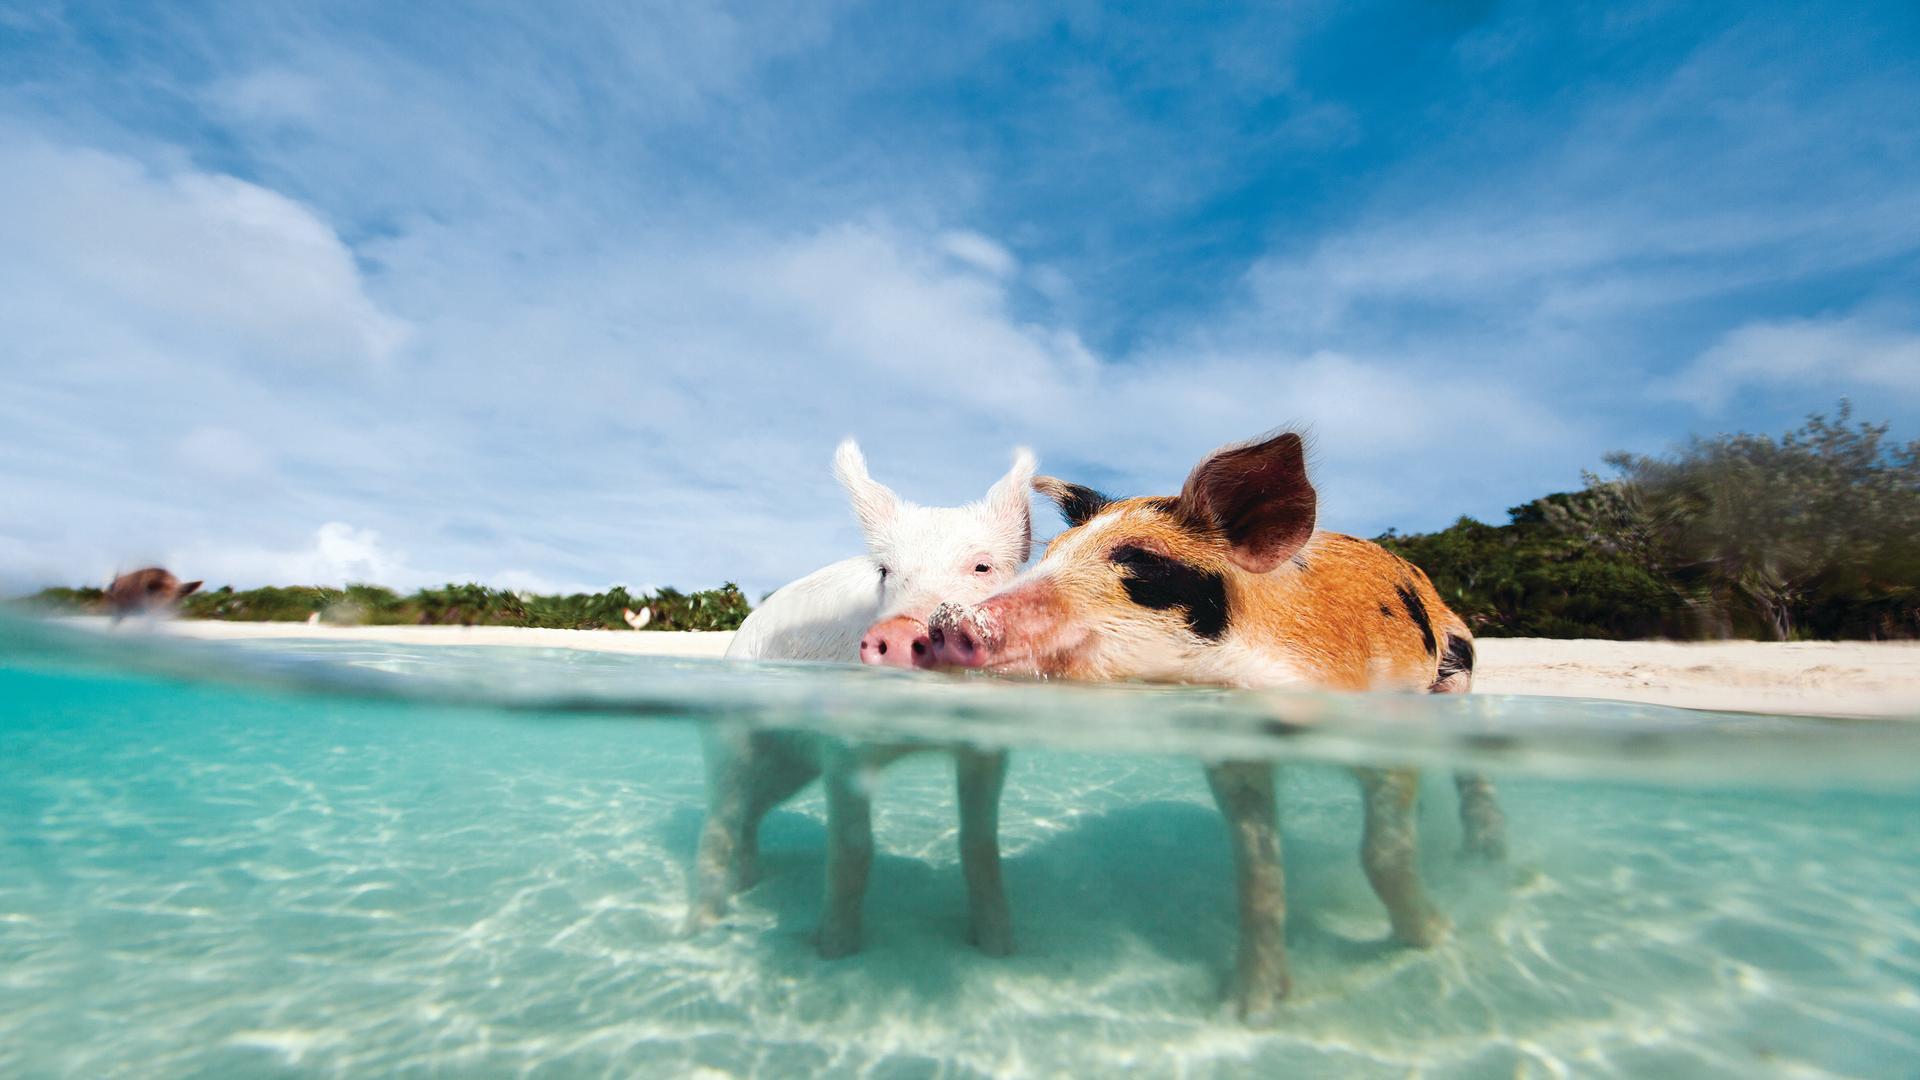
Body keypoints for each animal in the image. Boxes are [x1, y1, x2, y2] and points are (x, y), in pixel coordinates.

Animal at [687, 439, 1036, 959]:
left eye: (982, 566)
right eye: (886, 572)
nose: (901, 630)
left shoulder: (986, 745)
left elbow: (978, 844)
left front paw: (1001, 948)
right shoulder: (843, 747)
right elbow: (853, 848)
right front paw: (834, 951)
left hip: (790, 766)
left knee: (751, 811)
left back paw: (750, 882)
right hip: (733, 732)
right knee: (721, 817)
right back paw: (700, 928)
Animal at [920, 431, 1507, 1019]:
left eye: (1142, 561)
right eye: (1049, 554)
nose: (948, 621)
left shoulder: (1382, 725)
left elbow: (1382, 852)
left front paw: (1433, 937)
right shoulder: (1235, 757)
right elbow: (1258, 870)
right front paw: (1248, 1009)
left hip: (1457, 673)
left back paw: (1483, 859)